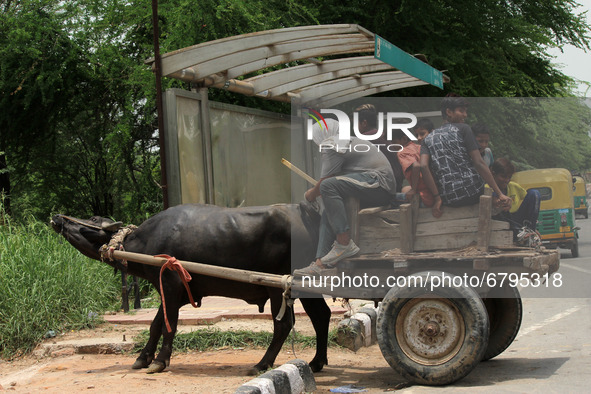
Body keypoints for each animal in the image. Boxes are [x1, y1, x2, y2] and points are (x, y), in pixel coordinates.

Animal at [51, 205, 328, 374]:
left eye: (93, 219)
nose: (57, 217)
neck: (145, 241)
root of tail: (305, 212)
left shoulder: (170, 284)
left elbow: (169, 324)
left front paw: (159, 361)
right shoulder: (172, 291)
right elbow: (156, 324)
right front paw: (143, 357)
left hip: (277, 288)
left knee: (284, 325)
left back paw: (262, 364)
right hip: (306, 286)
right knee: (321, 316)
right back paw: (316, 362)